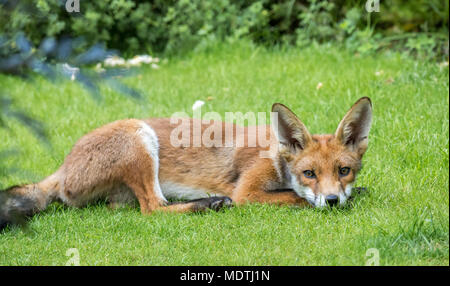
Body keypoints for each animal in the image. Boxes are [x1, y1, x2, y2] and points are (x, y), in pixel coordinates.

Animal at [0, 97, 372, 229]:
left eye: (344, 171)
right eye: (309, 173)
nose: (333, 200)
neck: (275, 154)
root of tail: (62, 168)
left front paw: (355, 194)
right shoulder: (248, 192)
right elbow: (295, 198)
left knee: (125, 207)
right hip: (139, 139)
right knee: (153, 208)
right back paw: (207, 205)